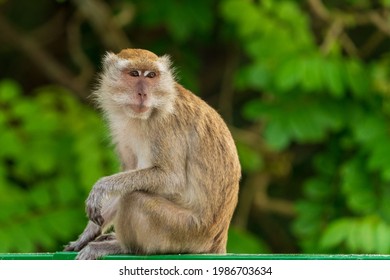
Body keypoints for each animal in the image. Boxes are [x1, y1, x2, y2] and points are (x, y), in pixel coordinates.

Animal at [64, 48, 241, 260]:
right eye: (134, 74)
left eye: (151, 75)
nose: (143, 93)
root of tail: (217, 240)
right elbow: (130, 171)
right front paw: (88, 233)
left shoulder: (166, 124)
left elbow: (172, 177)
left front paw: (101, 187)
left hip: (184, 231)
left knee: (133, 198)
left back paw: (123, 247)